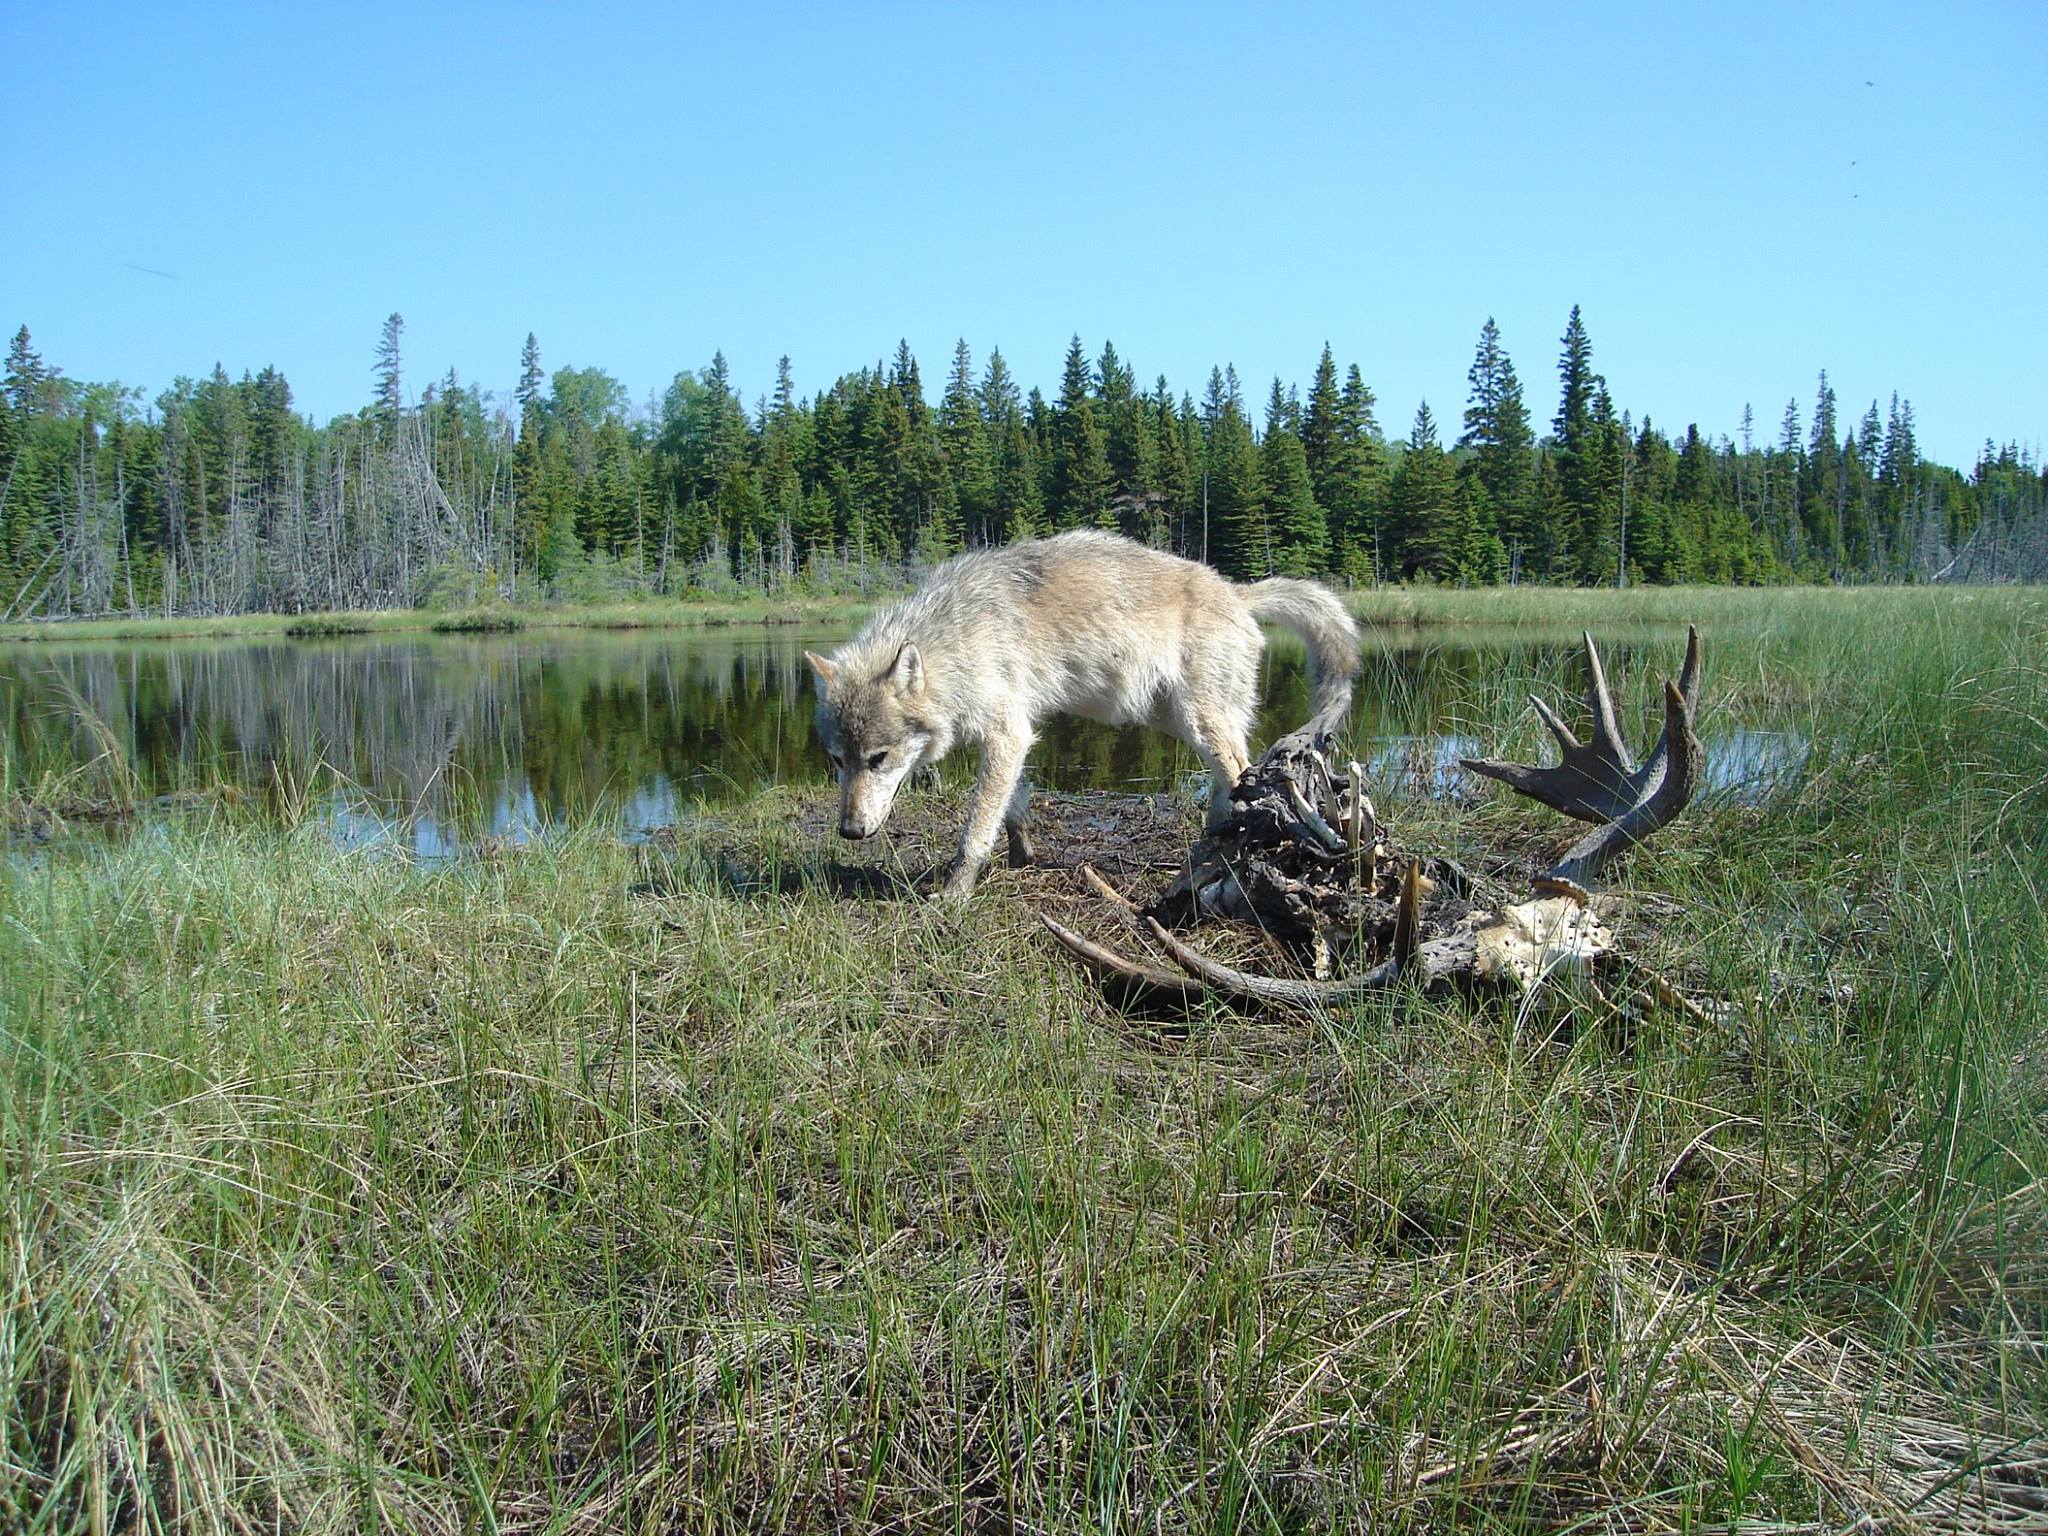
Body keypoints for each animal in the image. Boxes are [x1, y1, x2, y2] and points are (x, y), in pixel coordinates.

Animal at [804, 529, 1360, 899]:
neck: (958, 638)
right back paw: (1210, 845)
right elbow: (1013, 809)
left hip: (1198, 722)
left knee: (1243, 773)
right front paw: (1022, 858)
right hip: (1175, 718)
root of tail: (1238, 592)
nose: (849, 831)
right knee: (1234, 778)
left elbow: (976, 831)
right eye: (837, 761)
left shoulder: (1006, 733)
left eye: (878, 759)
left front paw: (954, 895)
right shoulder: (1017, 735)